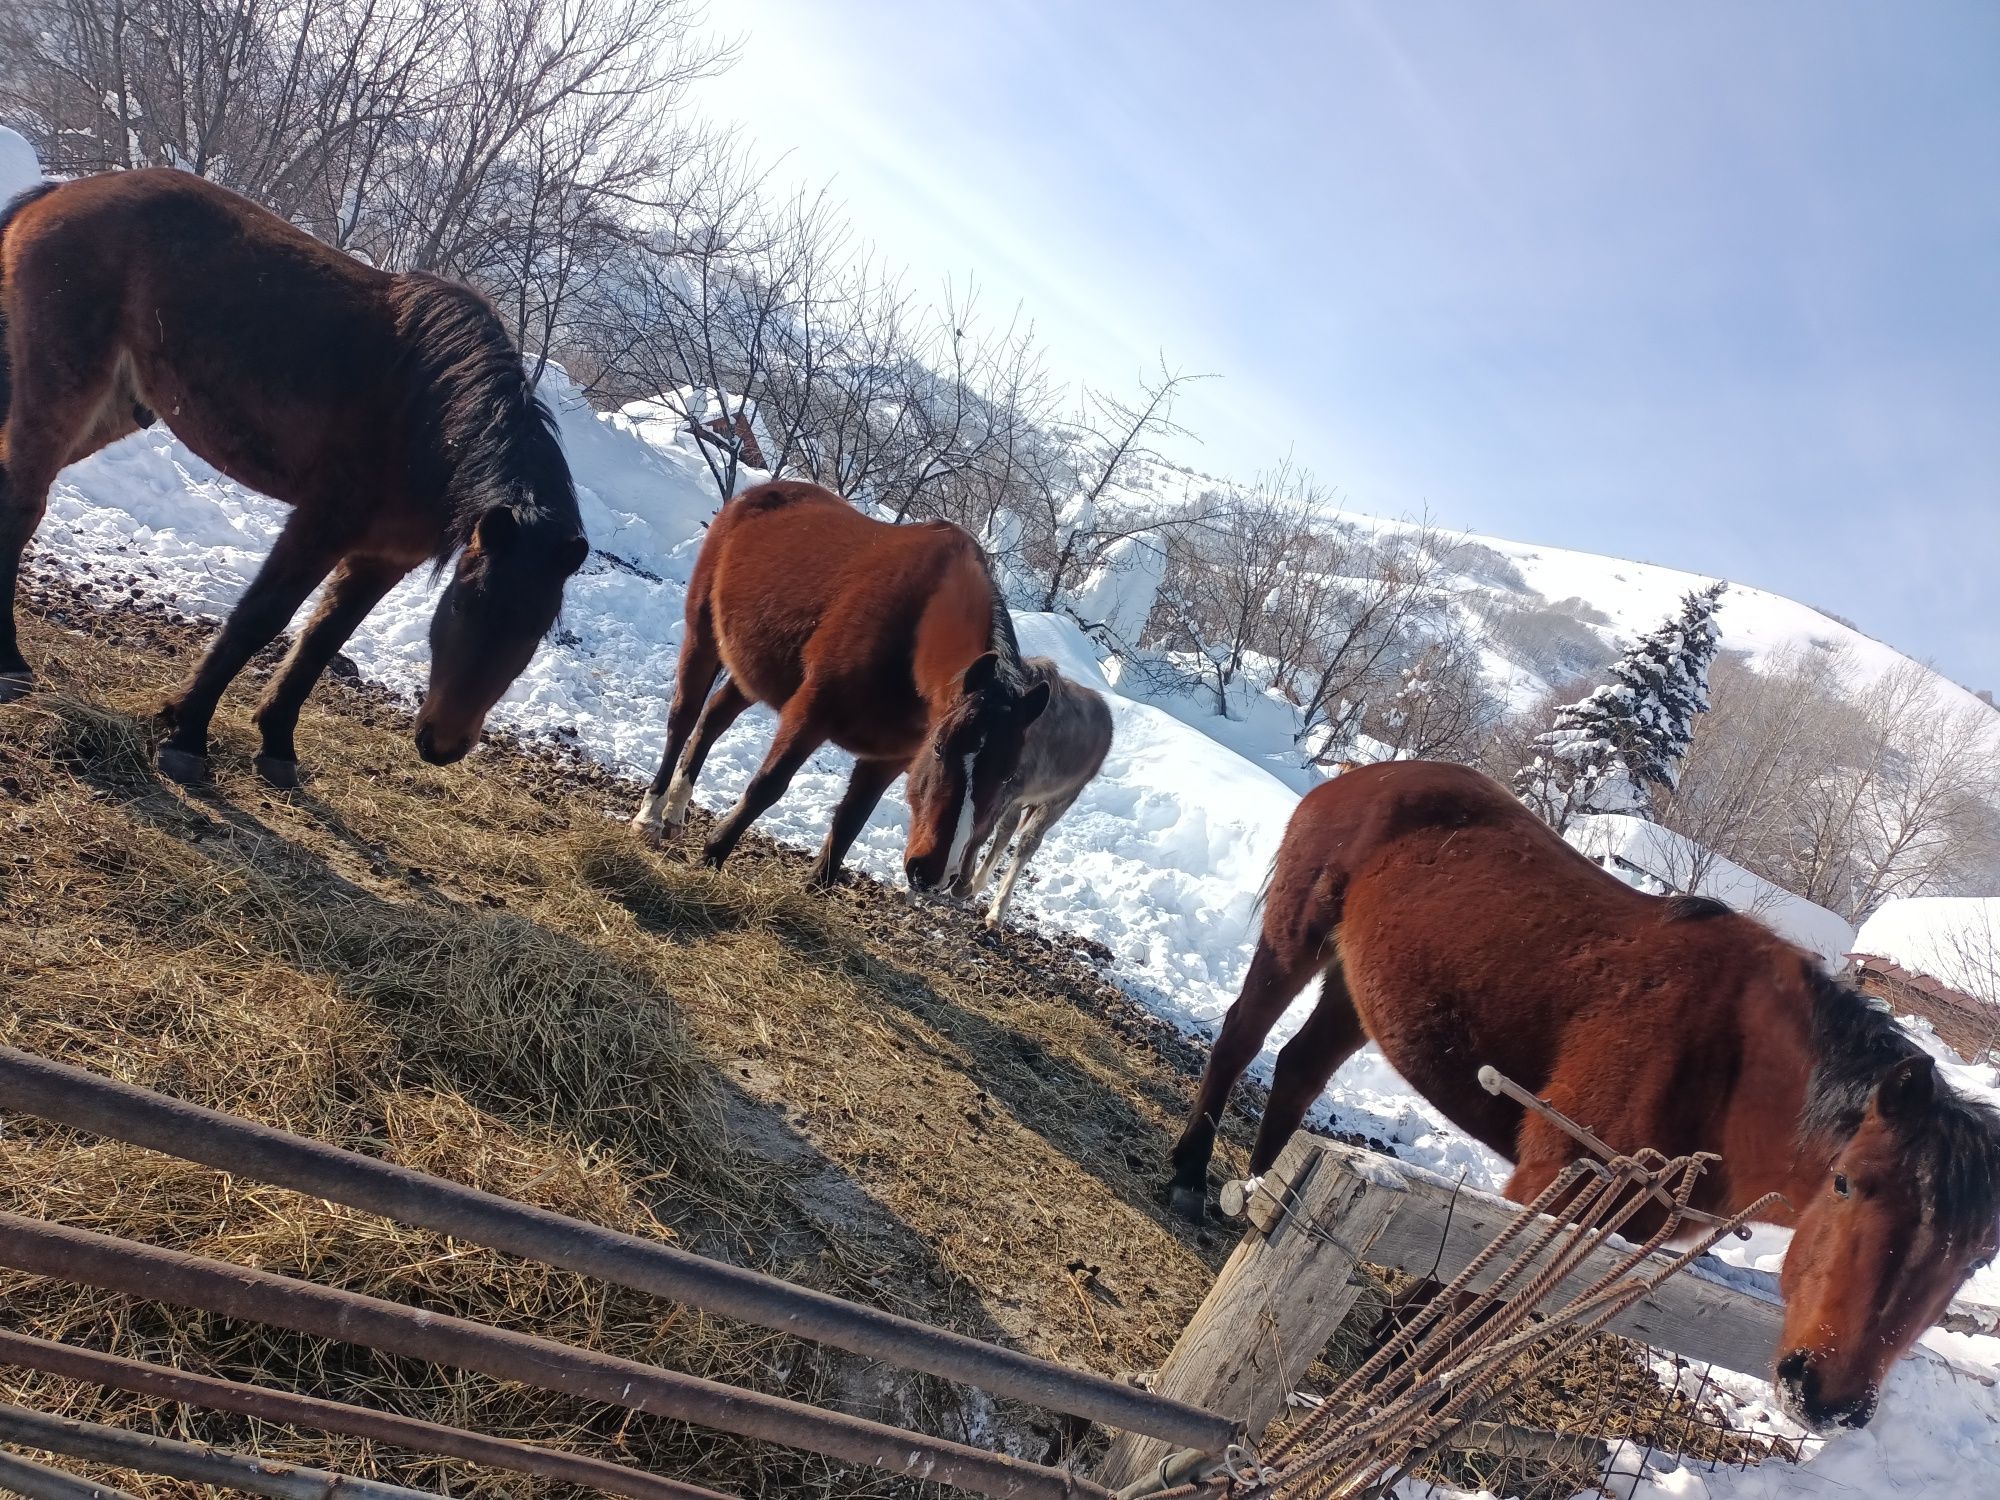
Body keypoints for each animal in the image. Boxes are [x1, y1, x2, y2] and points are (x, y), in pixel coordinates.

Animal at [0, 170, 588, 788]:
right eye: (462, 607)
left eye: (533, 632)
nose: (443, 744)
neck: (426, 418)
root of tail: (63, 191)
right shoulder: (321, 522)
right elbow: (262, 616)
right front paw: (187, 733)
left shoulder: (383, 557)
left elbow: (323, 639)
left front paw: (278, 744)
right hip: (64, 387)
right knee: (22, 505)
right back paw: (10, 663)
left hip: (113, 407)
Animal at [632, 488, 1056, 892]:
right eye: (939, 750)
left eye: (1006, 776)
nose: (933, 873)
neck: (914, 629)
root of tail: (755, 495)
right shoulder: (810, 714)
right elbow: (767, 786)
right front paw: (713, 855)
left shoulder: (888, 759)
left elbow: (851, 821)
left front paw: (813, 889)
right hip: (703, 637)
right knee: (684, 717)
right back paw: (651, 816)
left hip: (750, 669)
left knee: (712, 720)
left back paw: (675, 813)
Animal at [948, 656, 1120, 928]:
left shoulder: (1003, 790)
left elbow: (978, 833)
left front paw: (960, 885)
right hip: (1018, 800)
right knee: (1006, 832)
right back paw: (978, 885)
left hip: (1058, 801)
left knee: (1027, 843)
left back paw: (996, 911)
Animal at [1168, 764, 2000, 1432]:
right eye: (1847, 1184)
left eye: (1975, 1260)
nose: (1824, 1396)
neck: (1729, 1071)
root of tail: (1368, 774)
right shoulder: (1554, 1177)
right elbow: (1462, 1302)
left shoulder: (1607, 1222)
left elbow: (1477, 1311)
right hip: (1297, 940)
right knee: (1240, 1043)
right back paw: (1189, 1177)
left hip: (1356, 985)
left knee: (1299, 1071)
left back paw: (1262, 1187)